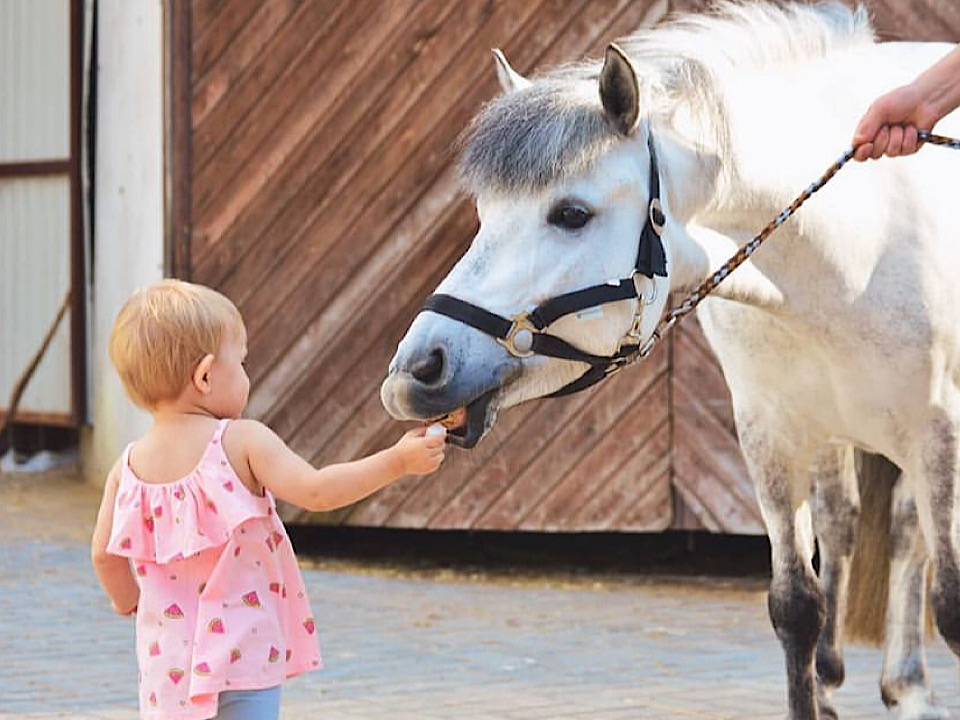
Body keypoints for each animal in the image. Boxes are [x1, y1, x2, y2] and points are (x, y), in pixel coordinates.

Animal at [380, 2, 960, 716]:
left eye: (571, 214)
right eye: (485, 213)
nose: (417, 370)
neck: (854, 248)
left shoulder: (936, 430)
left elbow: (951, 603)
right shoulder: (771, 437)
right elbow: (797, 607)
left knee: (906, 532)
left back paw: (908, 684)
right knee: (850, 522)